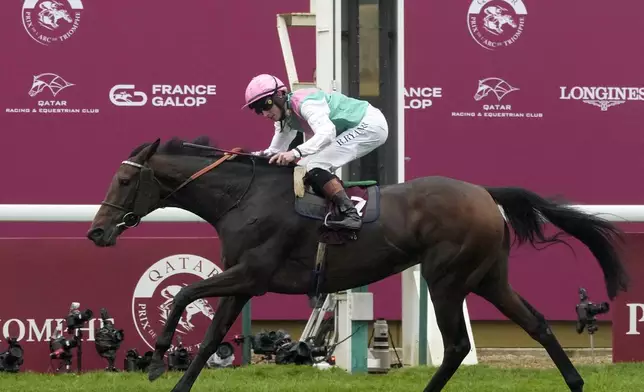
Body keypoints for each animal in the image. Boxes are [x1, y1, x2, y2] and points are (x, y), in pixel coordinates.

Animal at [85, 136, 628, 392]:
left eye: (125, 182)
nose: (96, 231)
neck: (243, 197)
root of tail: (483, 192)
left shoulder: (252, 275)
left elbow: (182, 293)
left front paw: (157, 361)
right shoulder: (241, 283)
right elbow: (211, 337)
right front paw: (176, 378)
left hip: (447, 278)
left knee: (456, 344)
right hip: (489, 278)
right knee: (537, 324)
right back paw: (576, 382)